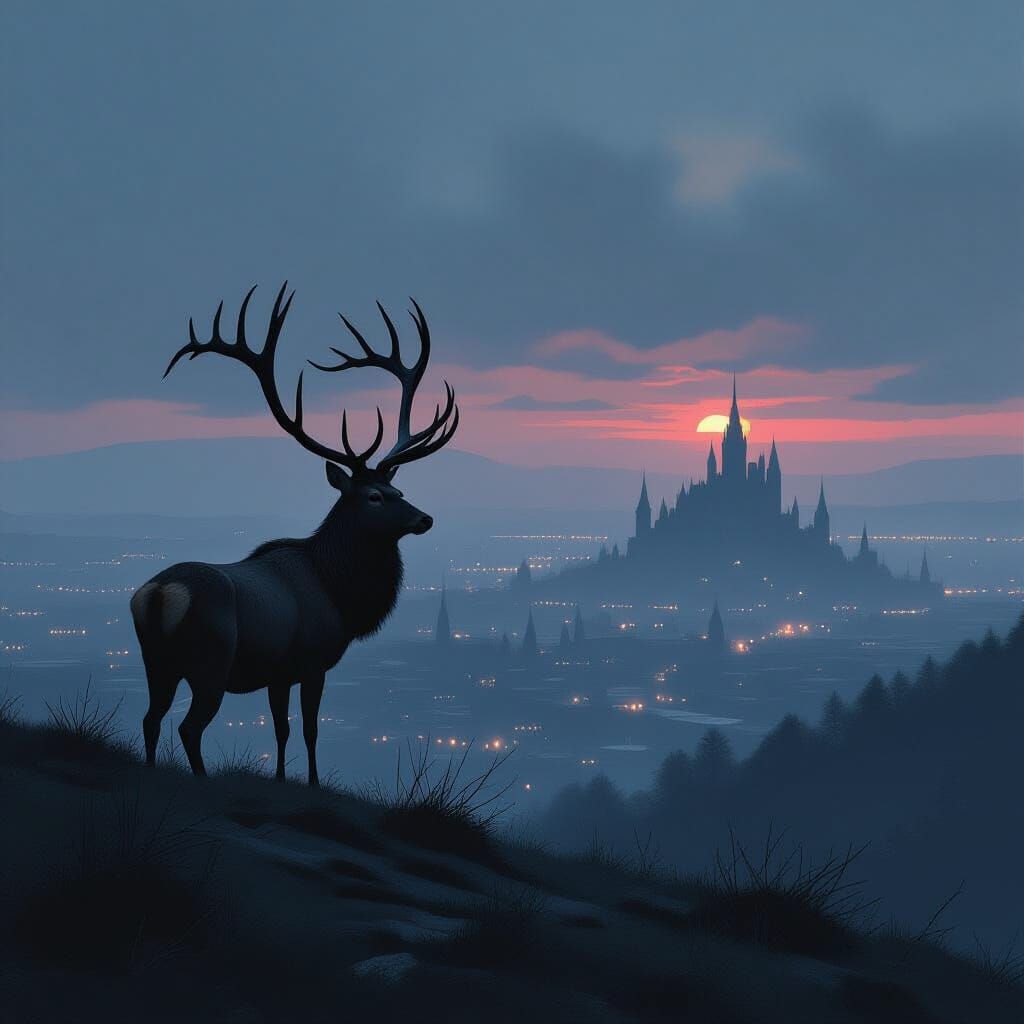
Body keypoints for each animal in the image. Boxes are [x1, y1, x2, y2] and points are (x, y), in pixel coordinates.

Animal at [130, 283, 458, 786]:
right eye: (374, 496)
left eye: (398, 489)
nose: (425, 519)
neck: (340, 593)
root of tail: (160, 593)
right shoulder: (311, 659)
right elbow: (308, 729)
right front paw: (314, 781)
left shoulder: (278, 672)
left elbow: (281, 730)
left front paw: (283, 778)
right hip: (210, 661)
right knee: (188, 726)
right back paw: (202, 779)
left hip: (155, 661)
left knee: (150, 718)